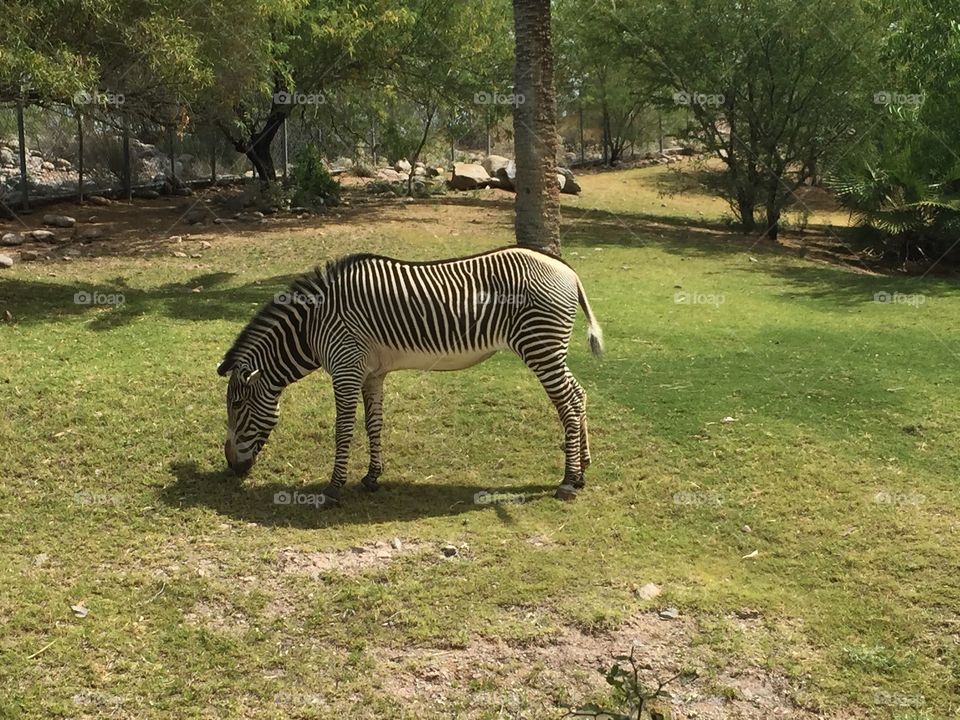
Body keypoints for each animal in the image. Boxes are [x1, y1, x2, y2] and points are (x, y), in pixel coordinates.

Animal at [217, 245, 603, 505]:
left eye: (236, 406)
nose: (231, 467)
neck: (311, 327)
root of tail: (567, 270)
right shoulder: (371, 374)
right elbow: (374, 424)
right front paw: (372, 477)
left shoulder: (345, 369)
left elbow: (343, 431)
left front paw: (333, 489)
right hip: (549, 348)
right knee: (578, 395)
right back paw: (583, 468)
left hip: (540, 346)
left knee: (567, 404)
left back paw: (568, 481)